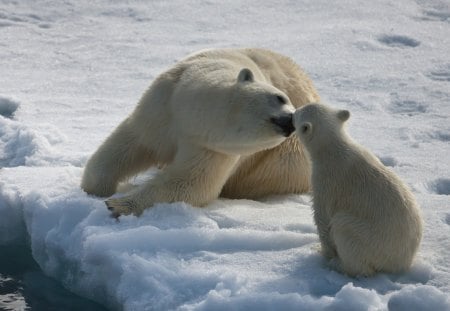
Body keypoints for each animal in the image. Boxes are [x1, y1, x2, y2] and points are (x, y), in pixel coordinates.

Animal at [81, 48, 320, 217]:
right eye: (280, 97)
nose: (291, 121)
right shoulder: (162, 106)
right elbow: (132, 142)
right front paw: (93, 191)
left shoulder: (212, 148)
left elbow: (190, 183)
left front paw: (118, 204)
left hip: (286, 162)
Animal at [294, 103, 424, 276]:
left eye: (299, 112)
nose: (293, 111)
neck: (333, 148)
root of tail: (401, 264)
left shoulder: (326, 180)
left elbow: (322, 216)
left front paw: (323, 253)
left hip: (372, 240)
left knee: (344, 227)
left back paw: (339, 264)